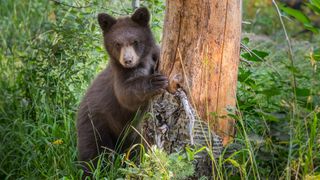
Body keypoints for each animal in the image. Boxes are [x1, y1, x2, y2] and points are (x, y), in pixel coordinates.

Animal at [76, 7, 169, 174]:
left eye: (135, 41)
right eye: (117, 43)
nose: (128, 60)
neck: (142, 61)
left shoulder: (154, 53)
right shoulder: (120, 74)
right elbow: (126, 94)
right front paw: (156, 81)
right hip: (94, 125)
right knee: (93, 153)